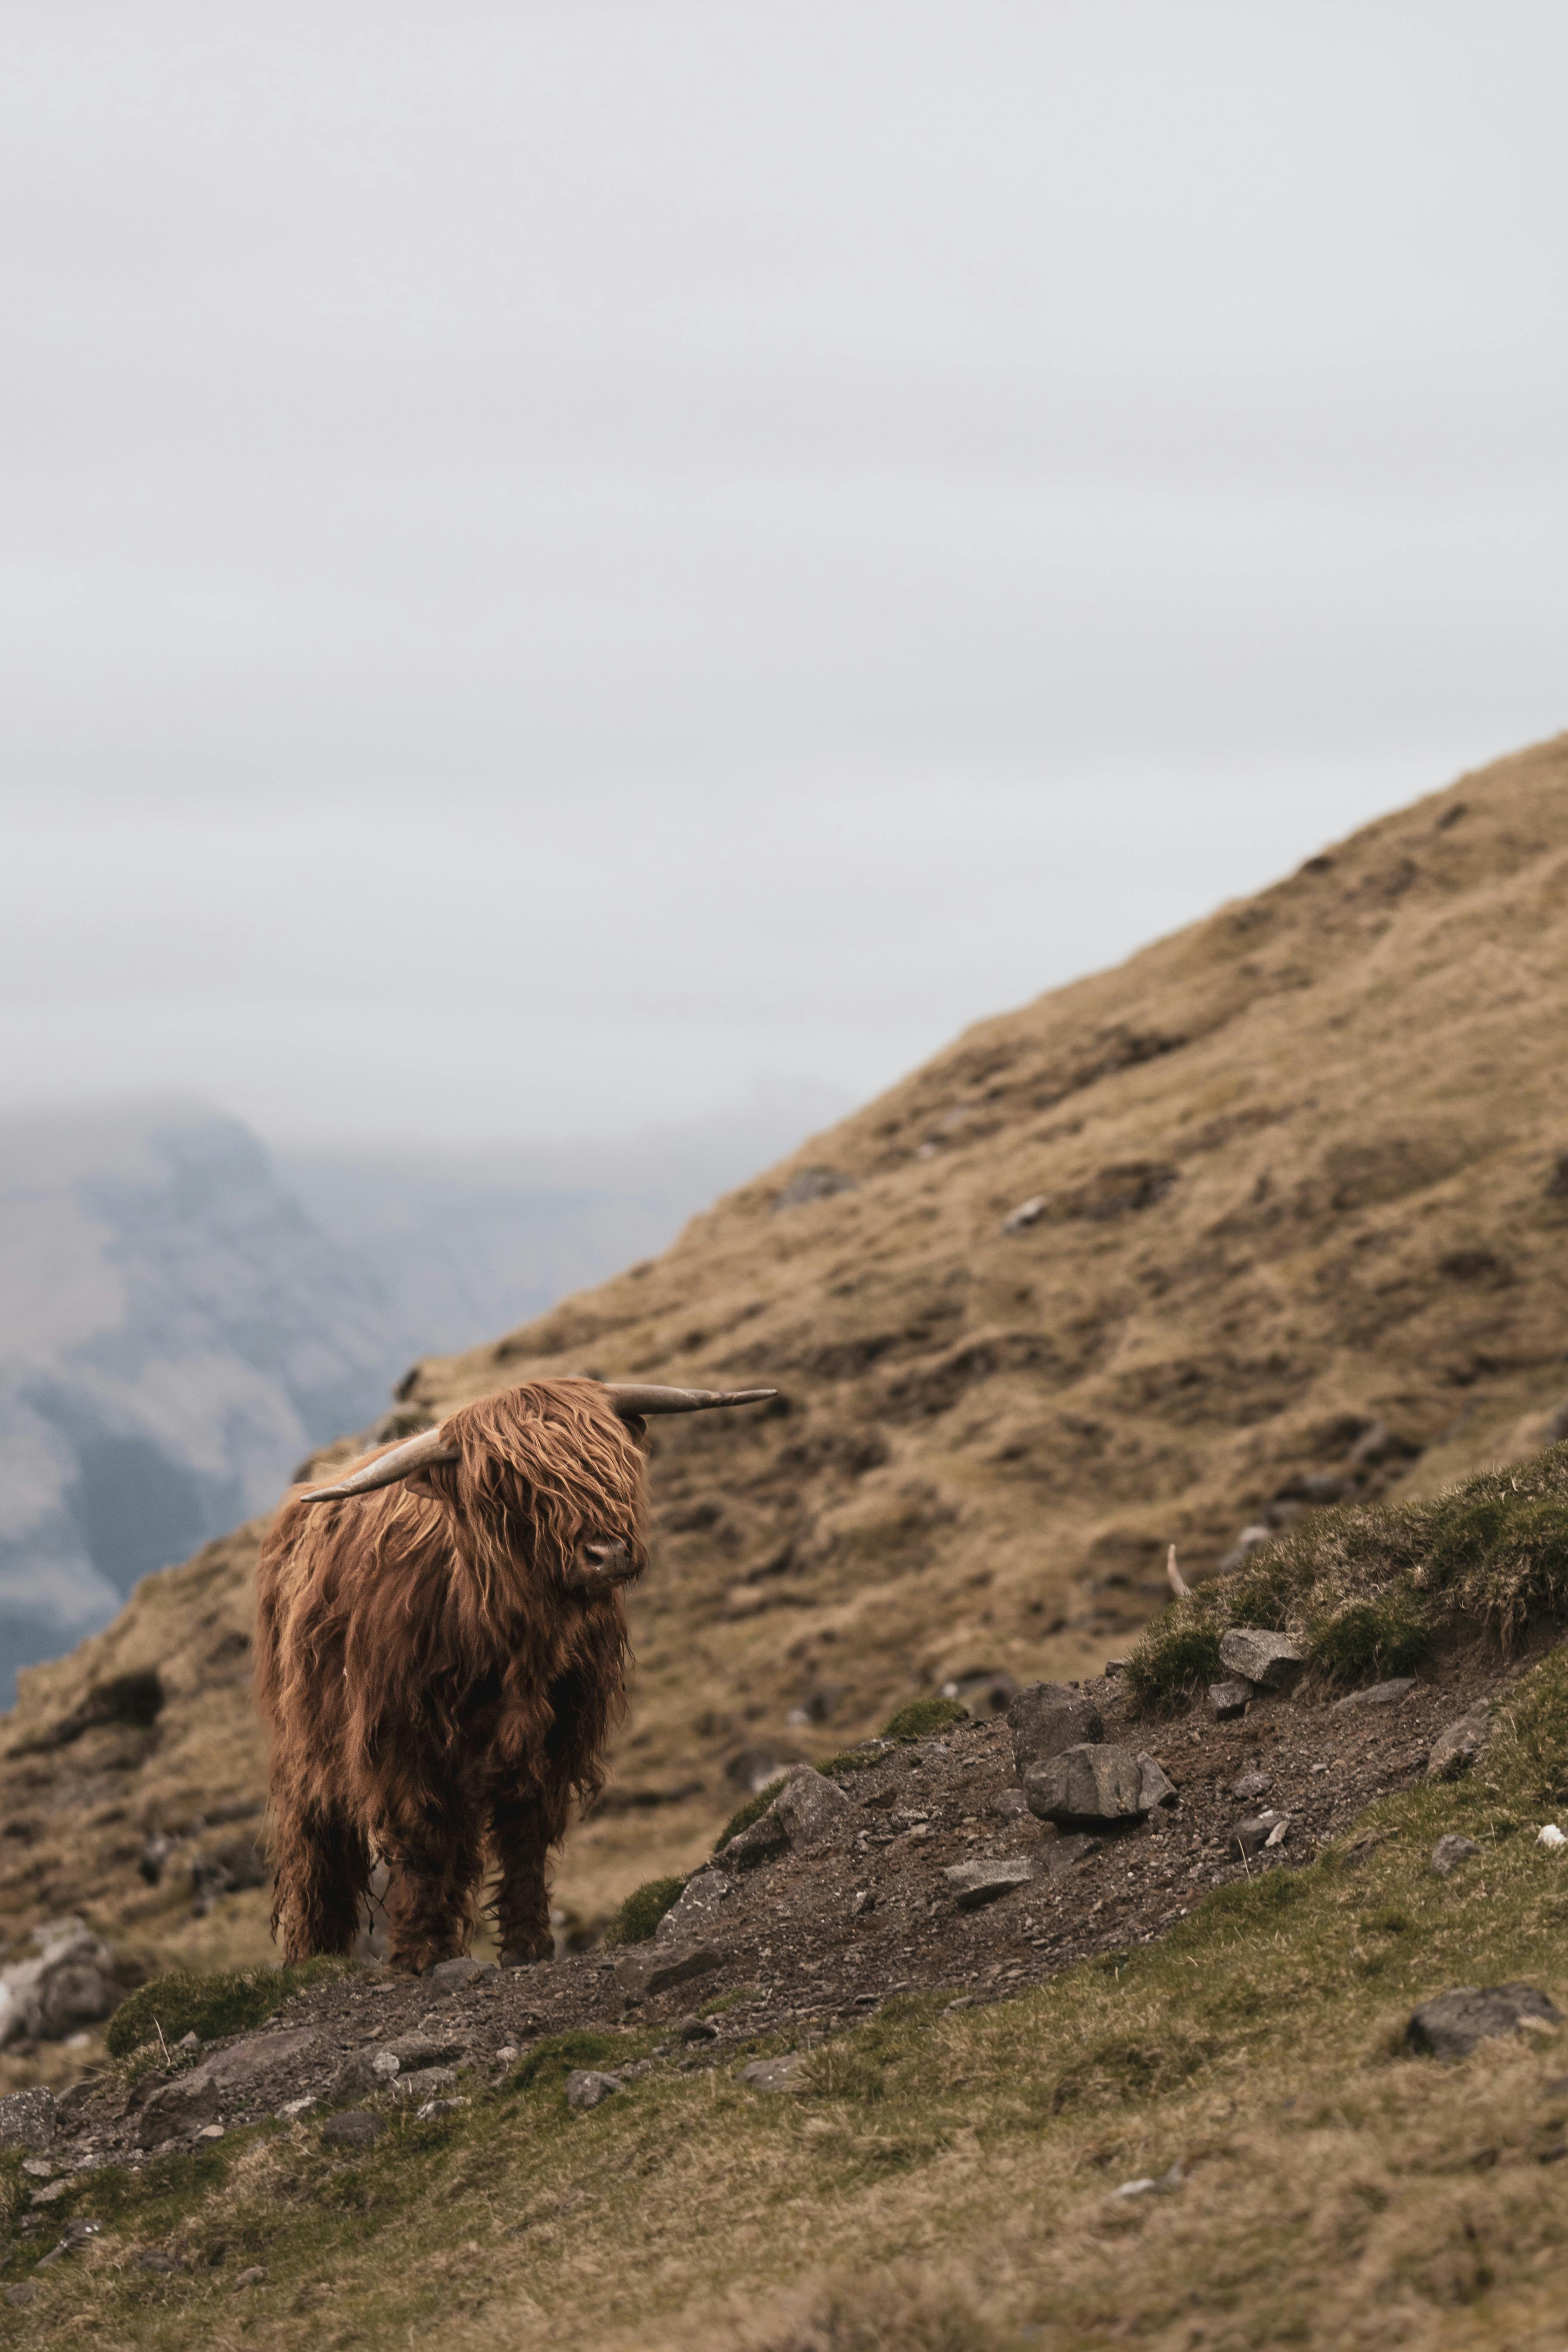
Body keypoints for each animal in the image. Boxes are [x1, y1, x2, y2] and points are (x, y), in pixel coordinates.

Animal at [255, 1375, 773, 1973]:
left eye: (610, 1460)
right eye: (510, 1485)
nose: (608, 1553)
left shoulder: (553, 1740)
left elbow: (525, 1839)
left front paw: (529, 1946)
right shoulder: (401, 1746)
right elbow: (421, 1845)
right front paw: (420, 1954)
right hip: (308, 1749)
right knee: (321, 1854)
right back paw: (314, 1957)